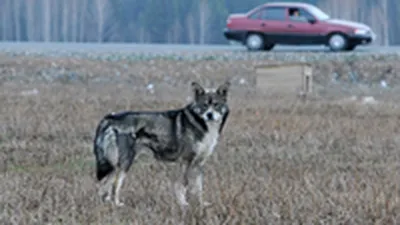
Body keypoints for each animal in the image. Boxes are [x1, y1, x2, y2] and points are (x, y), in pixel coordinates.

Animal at [92, 81, 230, 207]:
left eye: (216, 105)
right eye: (204, 105)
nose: (209, 115)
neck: (203, 125)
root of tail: (109, 118)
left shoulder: (199, 164)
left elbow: (199, 188)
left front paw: (201, 205)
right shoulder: (186, 161)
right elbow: (183, 185)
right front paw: (184, 204)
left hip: (115, 164)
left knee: (104, 187)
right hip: (124, 163)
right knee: (113, 185)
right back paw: (117, 204)